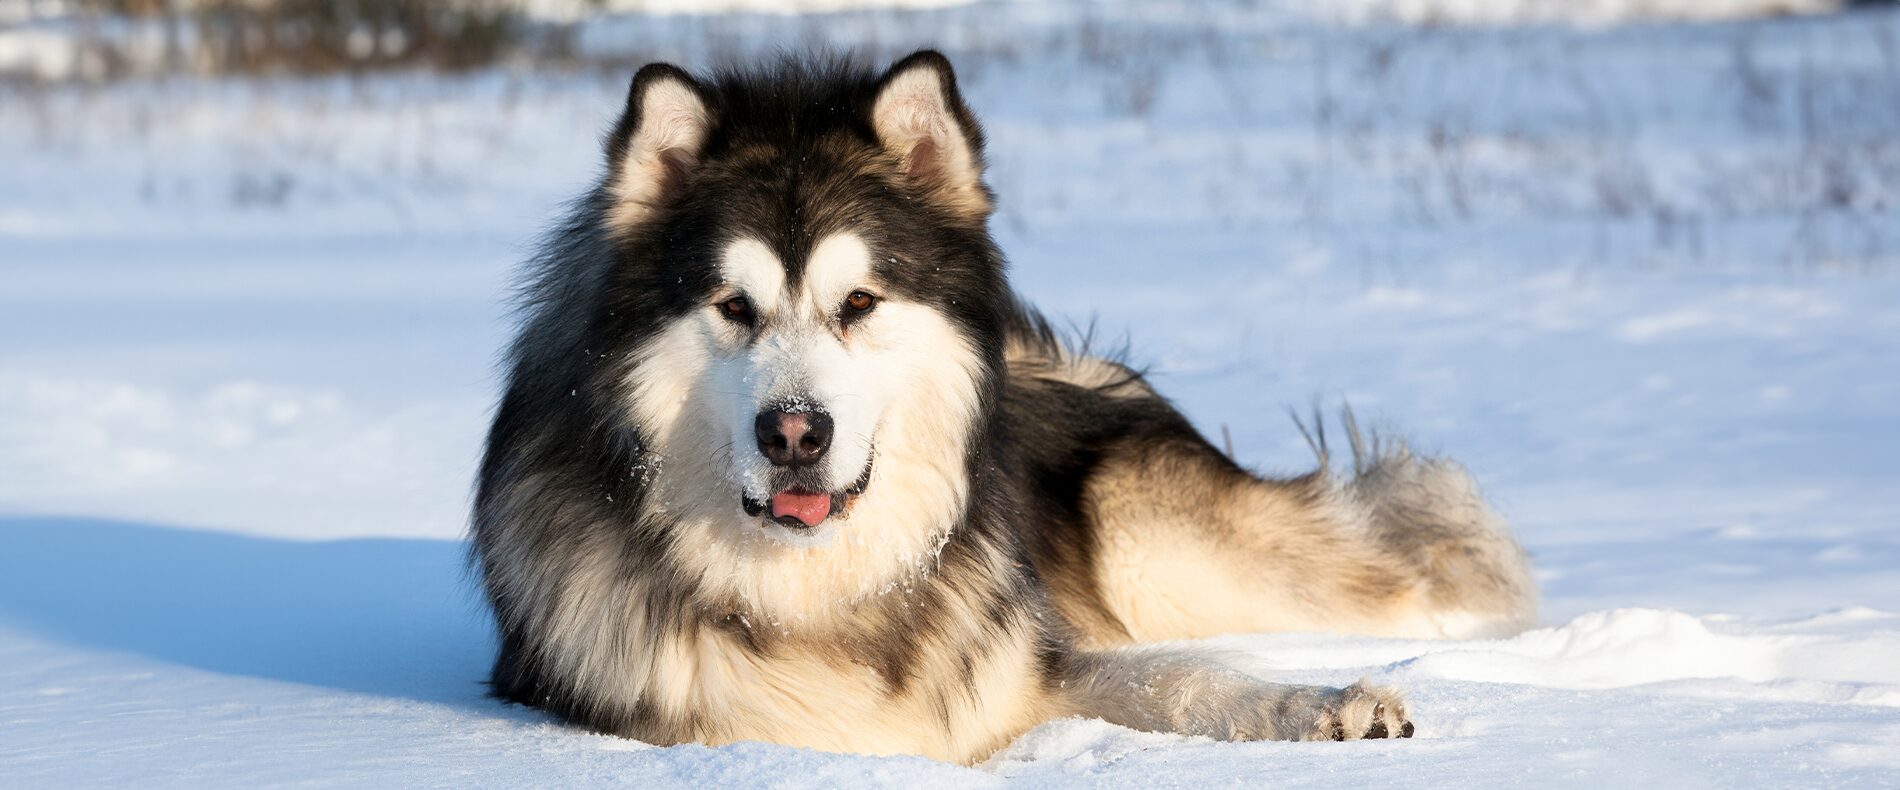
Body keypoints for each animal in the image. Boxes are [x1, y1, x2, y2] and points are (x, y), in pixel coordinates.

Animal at [475, 50, 1542, 767]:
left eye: (858, 303)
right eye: (733, 308)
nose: (794, 432)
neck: (823, 593)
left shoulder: (1032, 663)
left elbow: (1184, 678)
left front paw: (1322, 706)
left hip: (1162, 545)